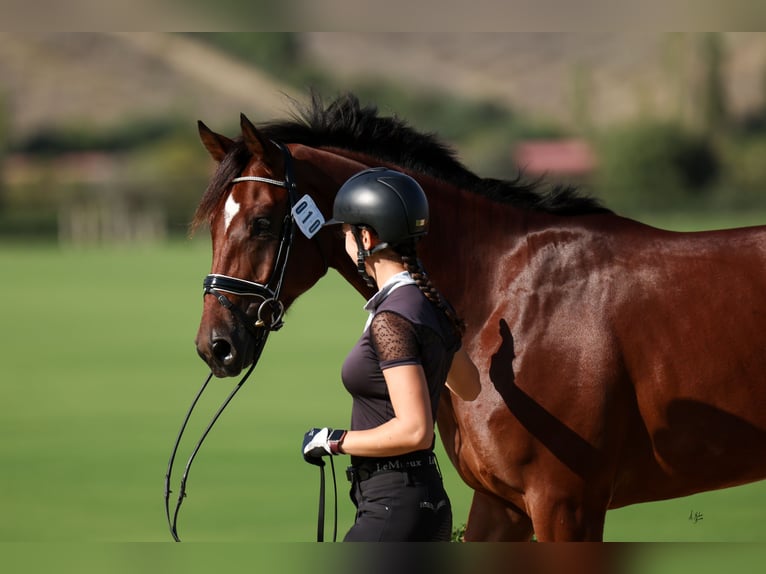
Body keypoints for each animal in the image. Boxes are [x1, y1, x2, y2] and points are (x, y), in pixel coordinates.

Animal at [190, 92, 766, 544]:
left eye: (262, 223)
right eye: (213, 225)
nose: (216, 345)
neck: (500, 289)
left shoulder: (566, 504)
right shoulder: (502, 503)